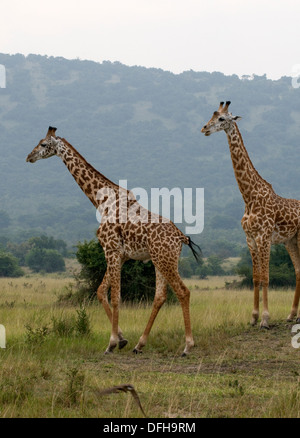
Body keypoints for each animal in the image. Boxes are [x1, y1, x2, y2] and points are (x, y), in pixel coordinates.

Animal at [25, 126, 199, 356]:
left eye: (43, 144)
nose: (29, 157)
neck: (101, 201)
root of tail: (181, 237)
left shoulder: (111, 249)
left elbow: (115, 296)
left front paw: (111, 343)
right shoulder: (120, 255)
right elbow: (101, 292)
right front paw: (122, 339)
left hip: (165, 259)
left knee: (183, 292)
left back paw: (187, 346)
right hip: (160, 260)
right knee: (160, 296)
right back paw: (139, 344)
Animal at [202, 102, 300, 328]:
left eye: (222, 119)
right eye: (212, 115)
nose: (204, 128)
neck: (249, 197)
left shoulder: (264, 238)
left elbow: (266, 276)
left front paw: (265, 319)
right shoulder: (250, 239)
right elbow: (256, 277)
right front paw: (253, 317)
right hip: (290, 241)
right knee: (299, 271)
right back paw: (292, 315)